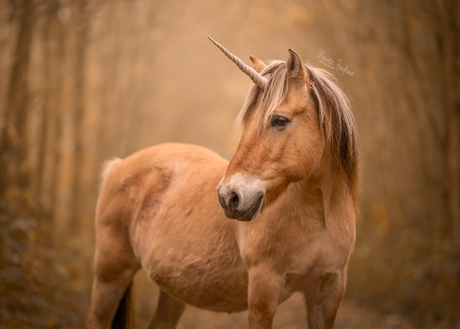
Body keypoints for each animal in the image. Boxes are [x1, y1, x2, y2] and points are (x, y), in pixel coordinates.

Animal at [85, 37, 360, 328]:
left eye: (279, 120)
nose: (229, 196)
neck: (320, 218)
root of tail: (118, 165)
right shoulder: (264, 290)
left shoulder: (329, 291)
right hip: (110, 276)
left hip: (173, 290)